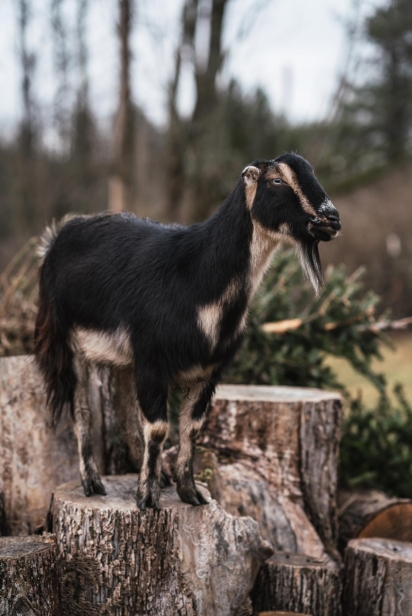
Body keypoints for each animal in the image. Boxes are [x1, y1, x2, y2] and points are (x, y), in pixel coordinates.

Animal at [33, 154, 342, 510]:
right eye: (277, 181)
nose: (331, 219)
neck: (196, 278)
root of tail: (56, 237)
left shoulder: (207, 371)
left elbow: (191, 428)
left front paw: (189, 492)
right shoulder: (153, 360)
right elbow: (158, 428)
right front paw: (147, 498)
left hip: (125, 359)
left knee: (127, 409)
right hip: (64, 339)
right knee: (80, 408)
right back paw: (93, 482)